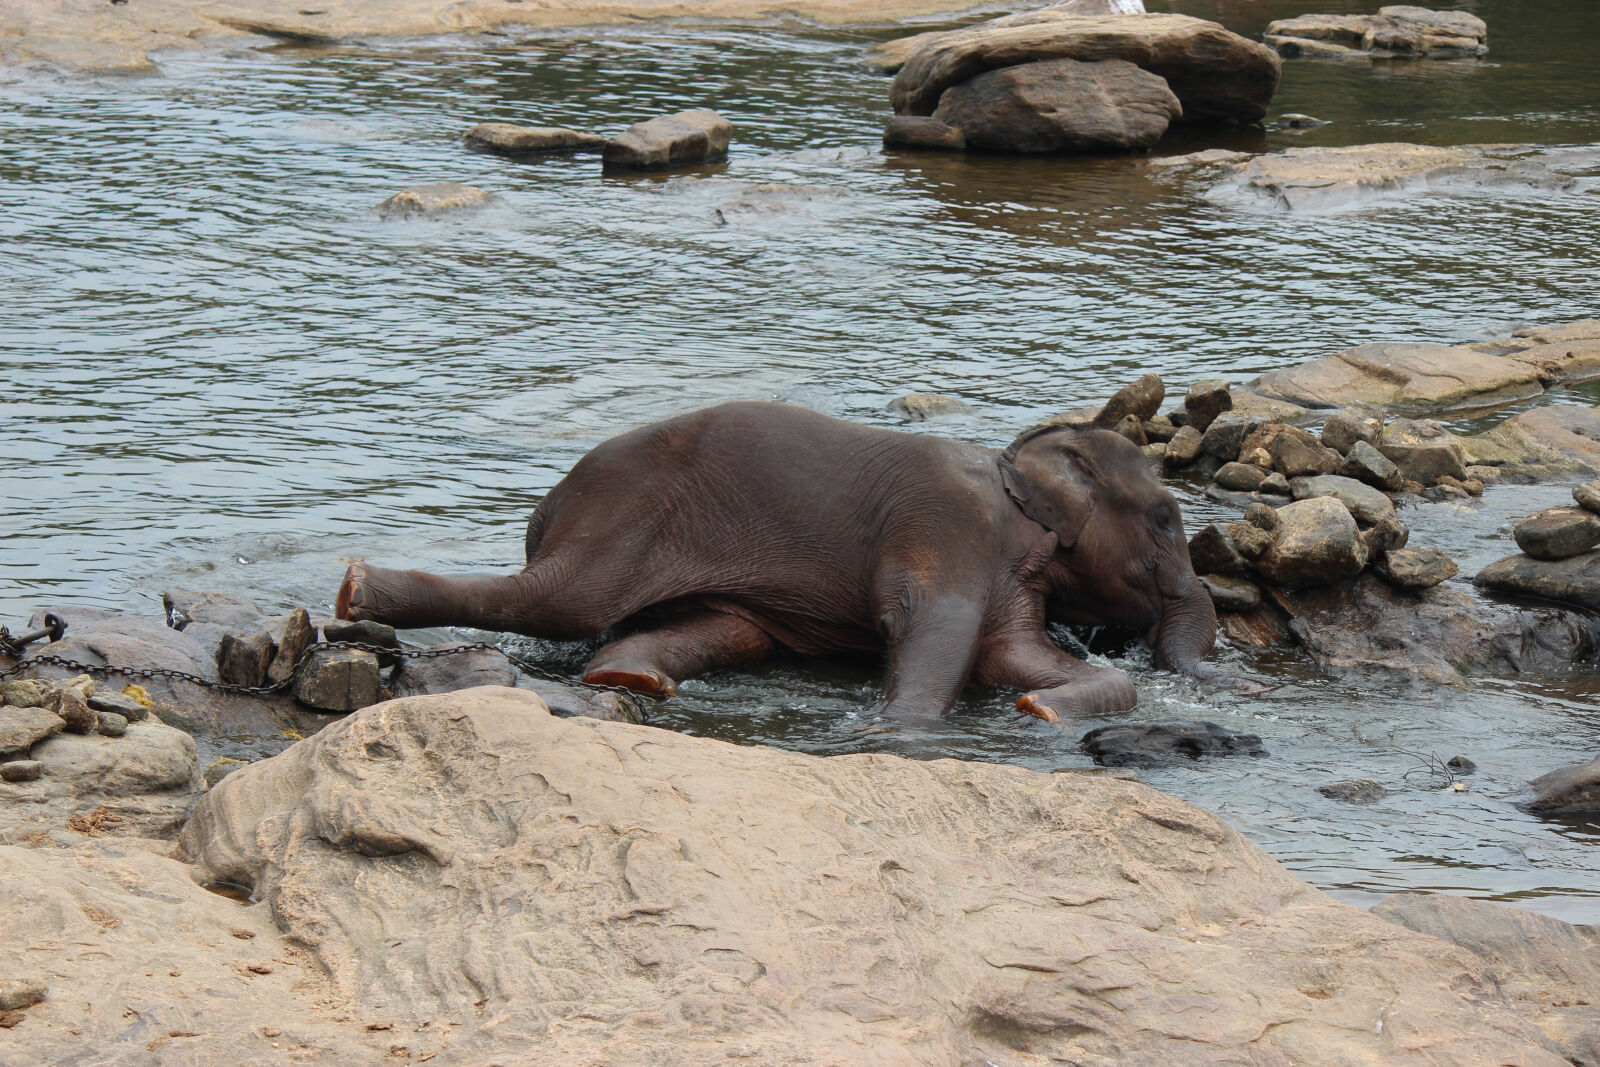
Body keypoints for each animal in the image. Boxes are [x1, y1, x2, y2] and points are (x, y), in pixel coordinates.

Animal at [334, 404, 1209, 723]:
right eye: (1166, 519)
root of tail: (546, 506)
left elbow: (1010, 657)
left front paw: (1040, 707)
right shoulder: (949, 528)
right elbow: (937, 631)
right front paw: (894, 731)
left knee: (722, 630)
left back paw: (629, 678)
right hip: (621, 515)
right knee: (562, 601)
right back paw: (354, 587)